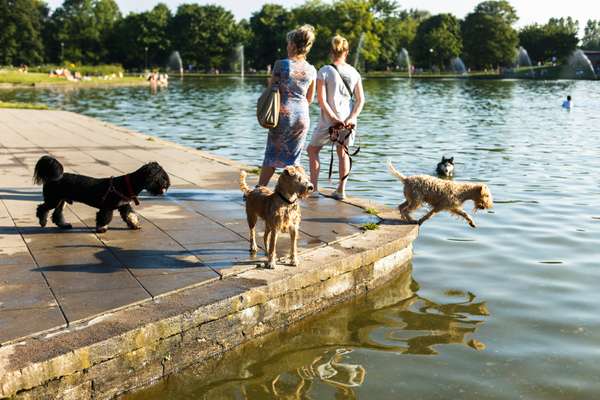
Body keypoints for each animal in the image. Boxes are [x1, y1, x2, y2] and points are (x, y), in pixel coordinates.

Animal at [34, 155, 170, 233]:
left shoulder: (124, 205)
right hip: (53, 199)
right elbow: (104, 217)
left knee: (57, 214)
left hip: (61, 200)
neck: (127, 184)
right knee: (42, 208)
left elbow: (131, 215)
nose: (168, 185)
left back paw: (64, 224)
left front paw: (135, 225)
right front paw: (102, 228)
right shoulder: (107, 206)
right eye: (162, 177)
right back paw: (42, 222)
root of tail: (53, 178)